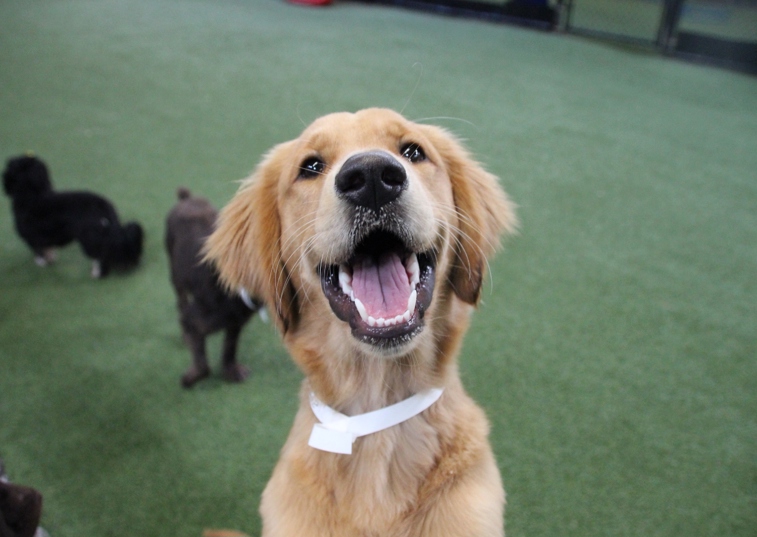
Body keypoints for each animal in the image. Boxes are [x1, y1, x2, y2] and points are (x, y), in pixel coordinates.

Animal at [2, 153, 144, 276]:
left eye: (11, 165)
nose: (9, 158)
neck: (32, 195)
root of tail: (104, 207)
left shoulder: (32, 237)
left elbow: (39, 251)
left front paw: (41, 262)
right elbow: (48, 249)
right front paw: (50, 259)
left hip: (89, 240)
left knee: (100, 256)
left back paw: (96, 274)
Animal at [165, 186, 260, 388]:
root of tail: (186, 198)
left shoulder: (234, 323)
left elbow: (229, 348)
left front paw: (230, 371)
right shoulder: (193, 321)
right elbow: (202, 364)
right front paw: (190, 379)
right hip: (175, 275)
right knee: (181, 301)